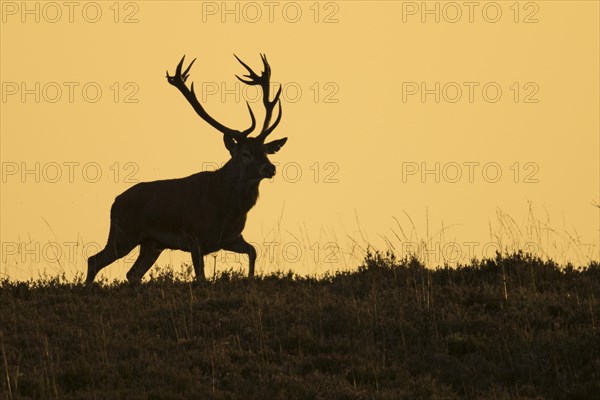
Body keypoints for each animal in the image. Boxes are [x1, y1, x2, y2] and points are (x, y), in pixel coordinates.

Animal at [85, 54, 288, 284]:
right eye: (245, 153)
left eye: (265, 150)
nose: (270, 168)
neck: (226, 209)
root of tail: (115, 202)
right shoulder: (194, 237)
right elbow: (200, 277)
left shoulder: (231, 238)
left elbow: (253, 251)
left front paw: (251, 279)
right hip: (124, 233)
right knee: (94, 260)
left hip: (151, 244)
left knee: (132, 273)